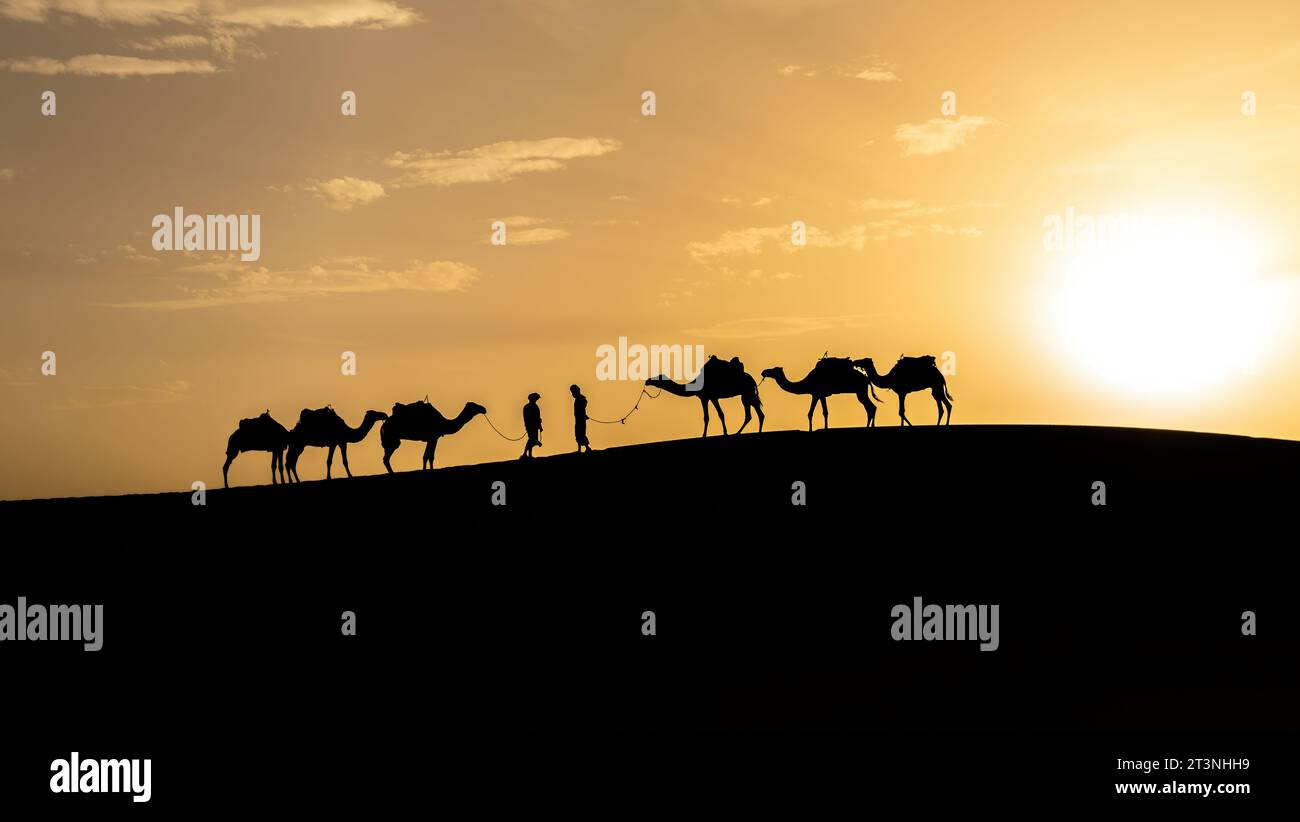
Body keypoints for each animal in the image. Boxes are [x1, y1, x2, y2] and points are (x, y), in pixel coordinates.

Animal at [754, 361, 883, 437]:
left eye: (774, 370)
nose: (763, 372)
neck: (806, 382)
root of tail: (867, 379)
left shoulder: (817, 393)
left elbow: (814, 413)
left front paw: (812, 430)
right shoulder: (819, 395)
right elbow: (821, 412)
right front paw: (822, 428)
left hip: (860, 391)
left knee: (871, 407)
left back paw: (868, 427)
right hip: (860, 391)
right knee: (871, 407)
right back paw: (870, 426)